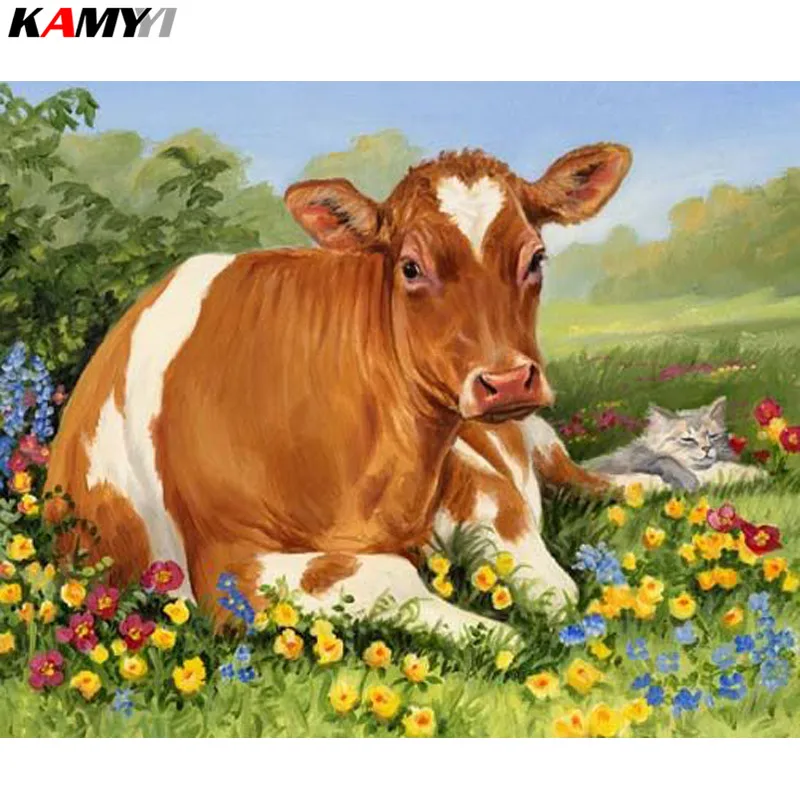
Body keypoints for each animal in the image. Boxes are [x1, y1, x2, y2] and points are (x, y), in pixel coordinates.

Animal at [46, 143, 631, 638]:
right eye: (410, 267)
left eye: (536, 258)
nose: (506, 381)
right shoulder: (227, 566)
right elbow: (395, 576)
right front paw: (498, 634)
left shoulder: (470, 471)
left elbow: (550, 575)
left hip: (536, 435)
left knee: (586, 477)